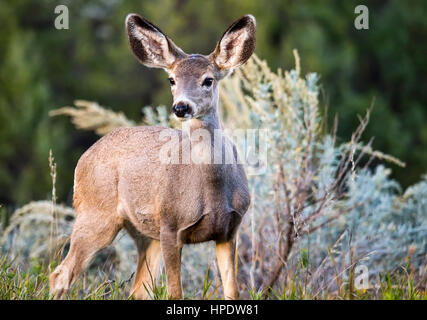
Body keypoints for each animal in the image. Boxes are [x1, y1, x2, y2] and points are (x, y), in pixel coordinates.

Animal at [50, 12, 258, 300]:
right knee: (60, 274)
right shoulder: (171, 225)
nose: (181, 107)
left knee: (137, 290)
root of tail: (85, 157)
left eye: (208, 80)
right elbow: (175, 293)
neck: (211, 187)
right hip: (95, 212)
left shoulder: (229, 229)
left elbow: (232, 292)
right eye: (171, 79)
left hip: (146, 234)